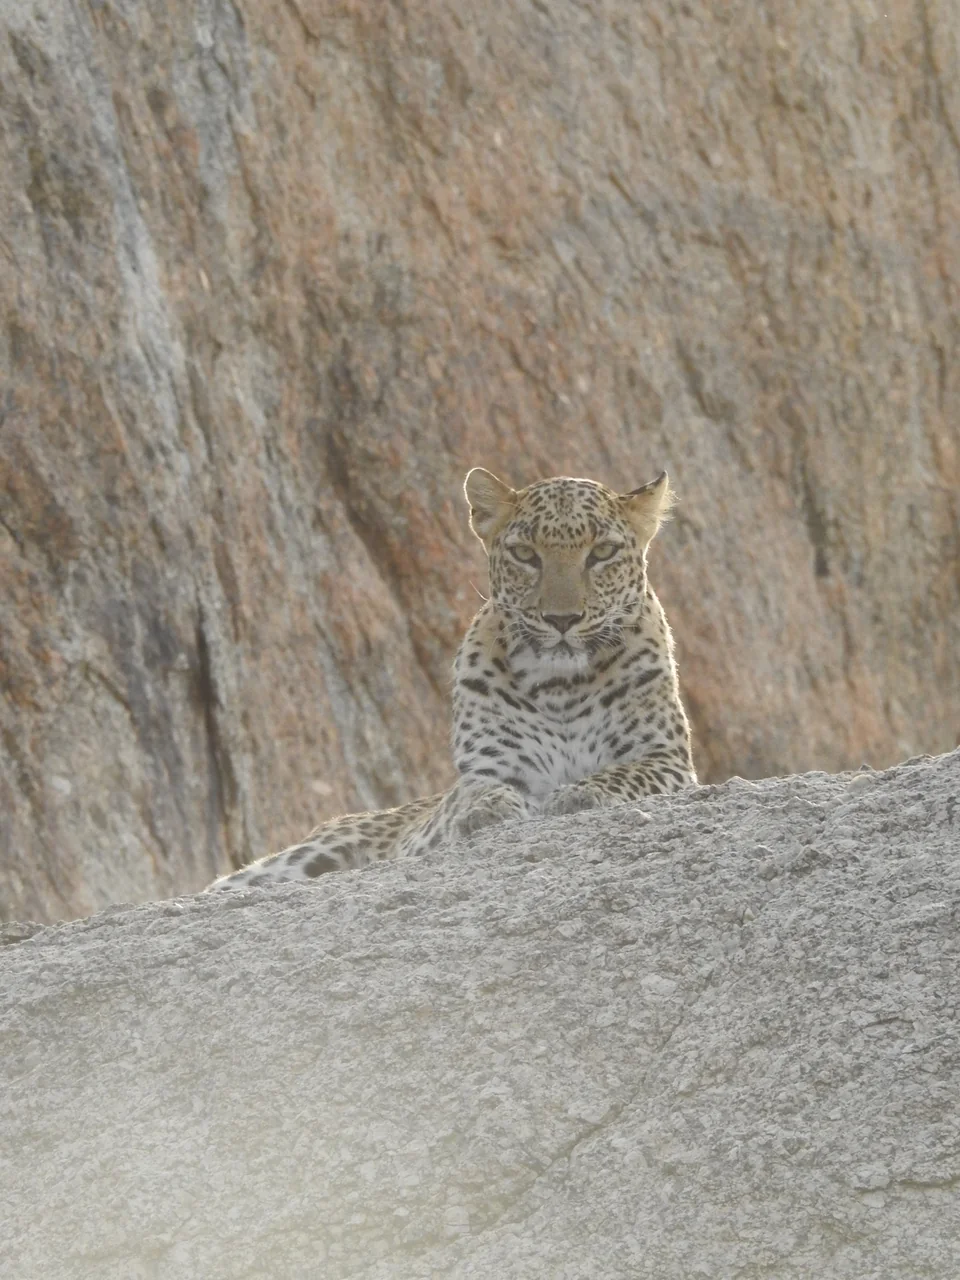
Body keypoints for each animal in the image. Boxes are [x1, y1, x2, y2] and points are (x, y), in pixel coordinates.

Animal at [206, 467, 696, 890]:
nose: (561, 619)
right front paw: (489, 809)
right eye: (525, 555)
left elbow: (621, 775)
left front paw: (579, 795)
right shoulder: (490, 767)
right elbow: (475, 794)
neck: (562, 684)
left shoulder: (667, 759)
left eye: (602, 553)